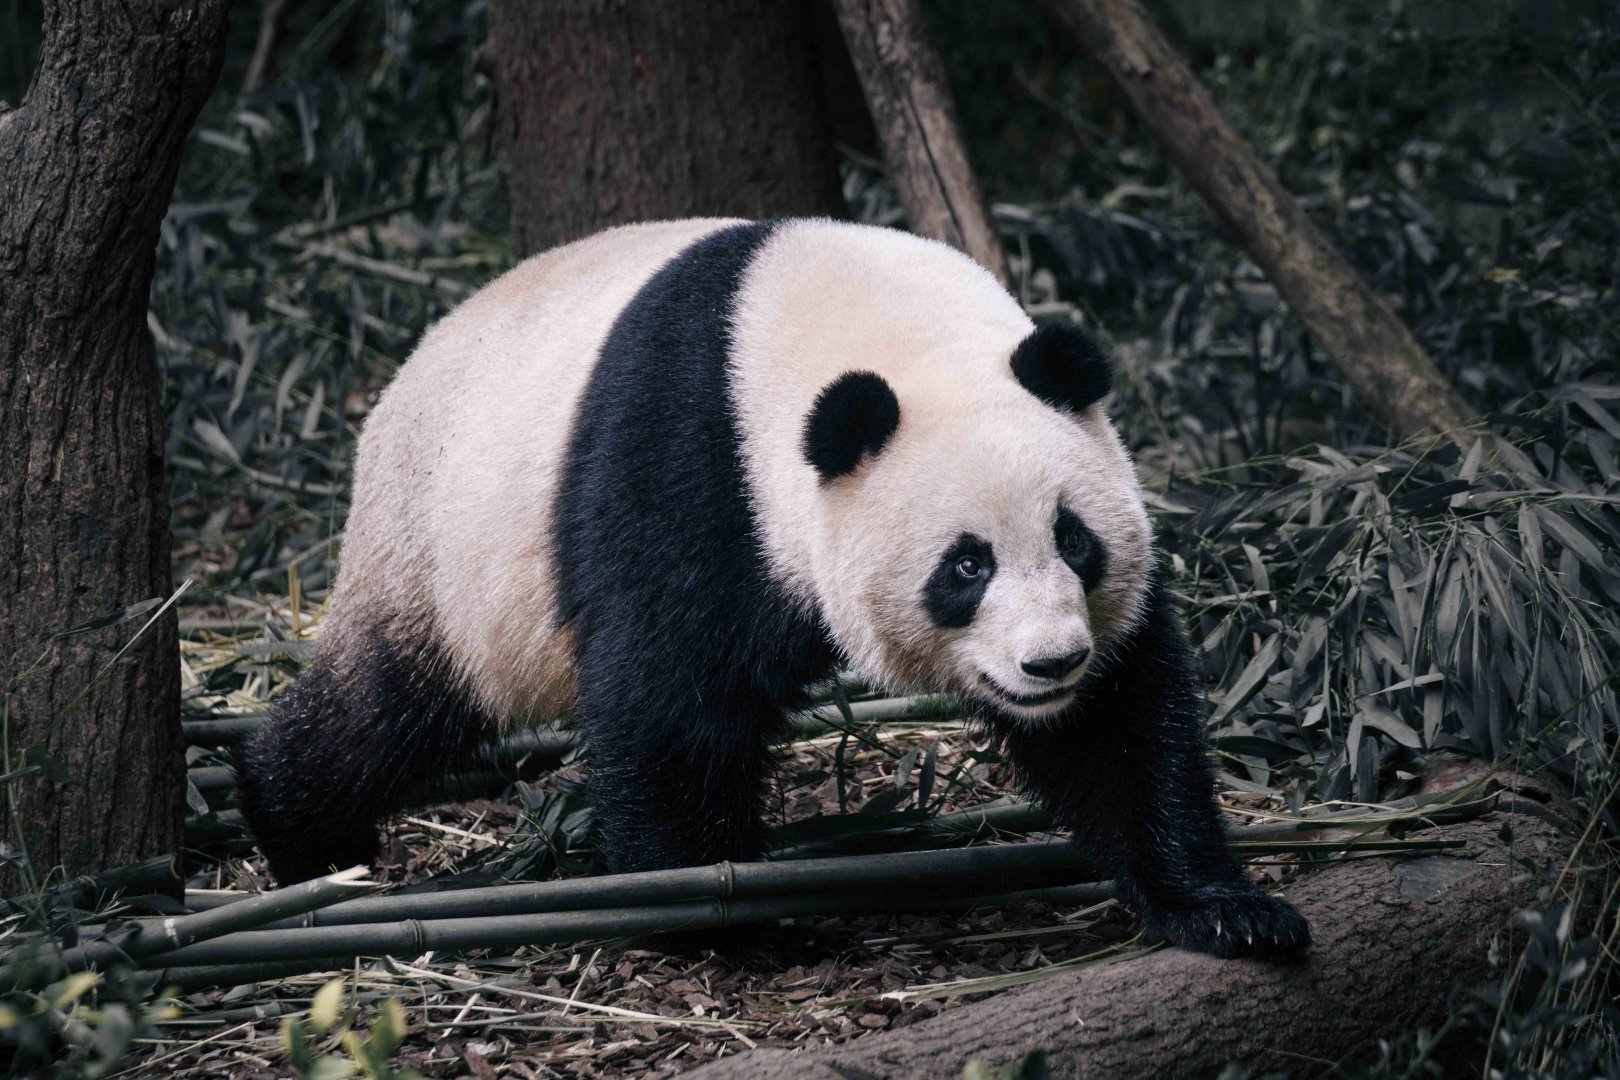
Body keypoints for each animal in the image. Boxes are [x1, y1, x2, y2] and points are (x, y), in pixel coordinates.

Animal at [235, 217, 1309, 959]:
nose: (1051, 663)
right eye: (966, 567)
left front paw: (1228, 911)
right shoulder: (695, 469)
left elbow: (1121, 722)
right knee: (387, 707)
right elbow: (667, 701)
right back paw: (301, 834)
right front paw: (720, 919)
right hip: (443, 552)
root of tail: (396, 387)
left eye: (1074, 540)